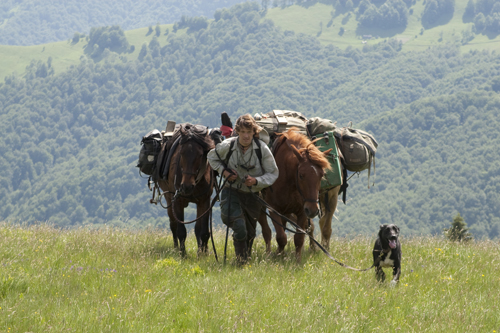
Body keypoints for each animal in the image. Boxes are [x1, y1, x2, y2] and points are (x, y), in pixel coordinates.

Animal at [157, 123, 216, 255]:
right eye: (181, 153)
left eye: (200, 154)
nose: (186, 186)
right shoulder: (177, 201)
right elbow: (181, 231)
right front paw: (183, 254)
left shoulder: (204, 201)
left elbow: (204, 231)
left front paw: (202, 255)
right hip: (168, 198)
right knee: (173, 225)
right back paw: (175, 248)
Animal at [262, 127, 332, 260]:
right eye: (301, 175)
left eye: (321, 175)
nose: (313, 210)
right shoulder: (273, 209)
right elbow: (281, 237)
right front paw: (278, 256)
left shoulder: (302, 212)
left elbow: (299, 238)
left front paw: (297, 261)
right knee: (266, 232)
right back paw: (269, 253)